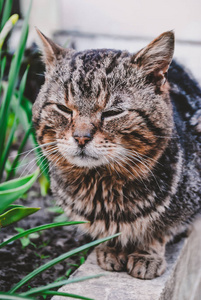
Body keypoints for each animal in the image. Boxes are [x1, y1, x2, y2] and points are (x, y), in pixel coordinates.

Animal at [33, 29, 201, 280]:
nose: (81, 137)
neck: (102, 184)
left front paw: (147, 254)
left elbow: (159, 230)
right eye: (63, 109)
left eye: (112, 113)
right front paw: (111, 248)